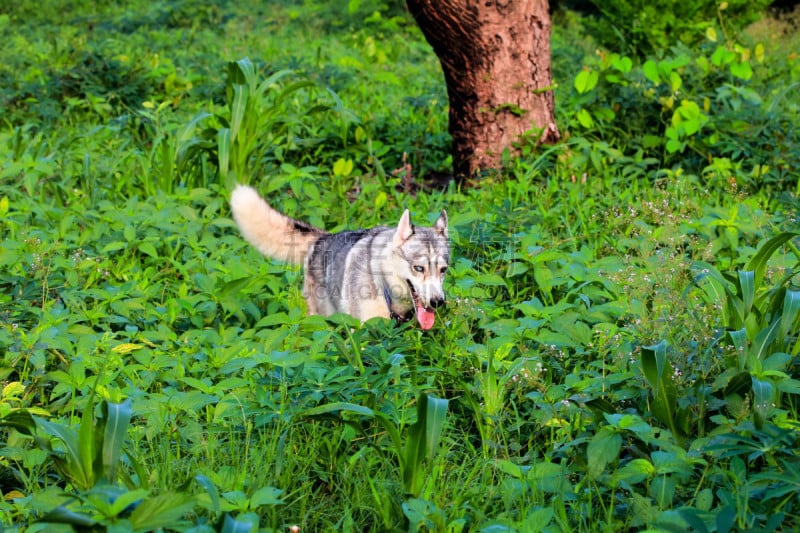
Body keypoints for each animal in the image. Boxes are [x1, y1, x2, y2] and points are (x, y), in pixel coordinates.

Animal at [230, 185, 450, 330]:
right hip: (320, 317)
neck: (384, 286)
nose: (438, 301)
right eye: (418, 268)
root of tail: (324, 237)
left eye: (443, 270)